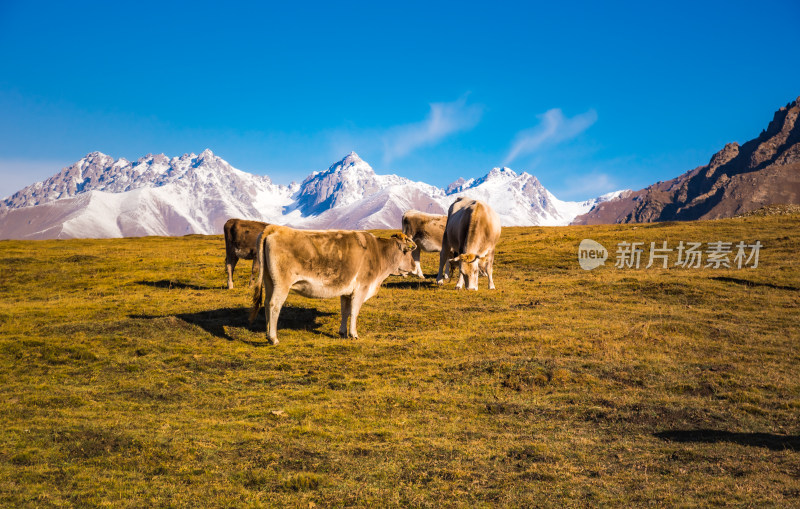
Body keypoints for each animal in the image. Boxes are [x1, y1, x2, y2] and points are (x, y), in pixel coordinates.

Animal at [250, 226, 416, 346]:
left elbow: (345, 312)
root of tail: (275, 228)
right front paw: (354, 334)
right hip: (282, 284)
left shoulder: (347, 292)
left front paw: (343, 333)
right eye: (407, 252)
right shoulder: (361, 288)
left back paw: (267, 333)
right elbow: (354, 312)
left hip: (269, 281)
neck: (378, 253)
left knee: (266, 303)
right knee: (274, 305)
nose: (414, 266)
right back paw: (273, 338)